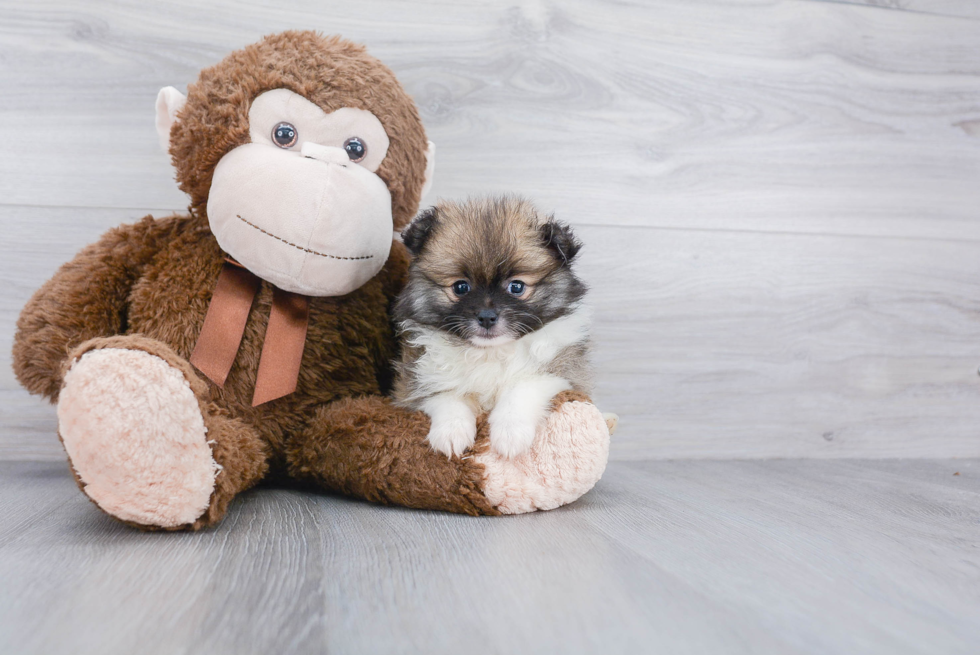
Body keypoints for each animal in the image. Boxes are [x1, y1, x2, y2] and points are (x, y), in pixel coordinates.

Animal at [390, 197, 588, 458]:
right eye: (461, 287)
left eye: (516, 287)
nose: (486, 317)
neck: (489, 352)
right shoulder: (417, 379)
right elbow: (448, 396)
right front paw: (451, 433)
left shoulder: (561, 371)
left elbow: (521, 388)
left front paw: (510, 433)